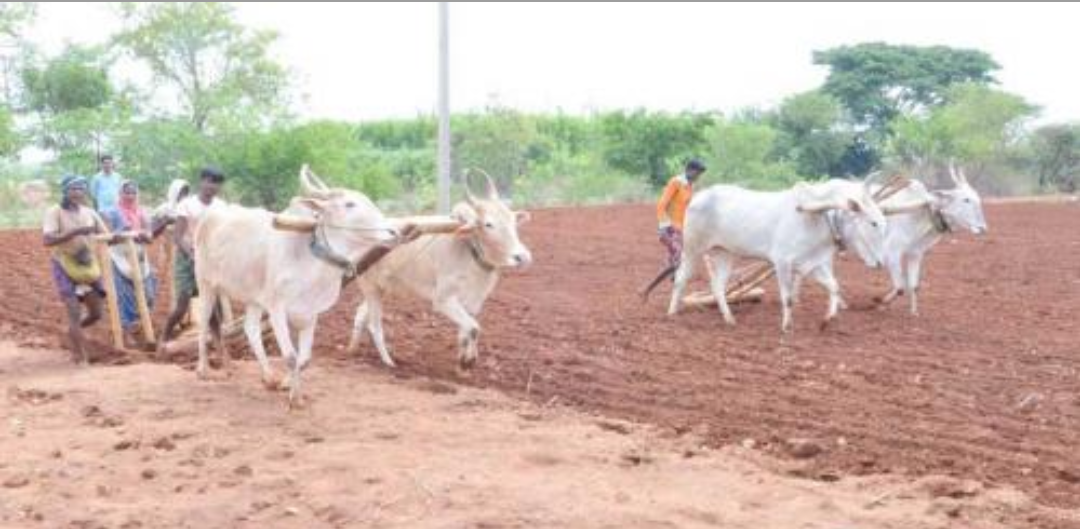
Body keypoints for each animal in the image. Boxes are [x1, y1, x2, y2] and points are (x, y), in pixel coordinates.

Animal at [193, 166, 400, 407]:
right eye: (350, 204)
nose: (394, 232)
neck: (310, 262)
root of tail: (211, 214)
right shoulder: (277, 308)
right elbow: (291, 357)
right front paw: (295, 399)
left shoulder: (310, 313)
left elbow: (305, 359)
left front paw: (286, 384)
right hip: (205, 283)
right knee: (204, 322)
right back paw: (203, 370)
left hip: (255, 298)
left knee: (250, 329)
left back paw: (268, 377)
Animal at [346, 169, 532, 370]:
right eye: (489, 224)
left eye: (513, 221)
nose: (522, 257)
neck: (469, 251)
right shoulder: (443, 300)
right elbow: (474, 328)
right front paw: (468, 361)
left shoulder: (471, 304)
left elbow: (466, 332)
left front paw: (463, 359)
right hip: (370, 287)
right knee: (374, 326)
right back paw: (388, 362)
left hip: (381, 289)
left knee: (360, 315)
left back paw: (352, 350)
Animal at [646, 178, 888, 333]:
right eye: (873, 223)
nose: (880, 262)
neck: (819, 218)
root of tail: (699, 197)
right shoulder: (782, 262)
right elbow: (787, 298)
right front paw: (786, 327)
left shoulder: (813, 264)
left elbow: (834, 287)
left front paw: (828, 320)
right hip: (693, 249)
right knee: (680, 279)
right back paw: (672, 313)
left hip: (724, 254)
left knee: (717, 286)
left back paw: (729, 319)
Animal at [874, 163, 988, 315]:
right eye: (966, 199)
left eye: (977, 197)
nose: (983, 228)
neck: (919, 213)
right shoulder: (891, 252)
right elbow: (900, 288)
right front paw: (881, 301)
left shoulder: (915, 254)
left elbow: (913, 285)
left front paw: (913, 312)